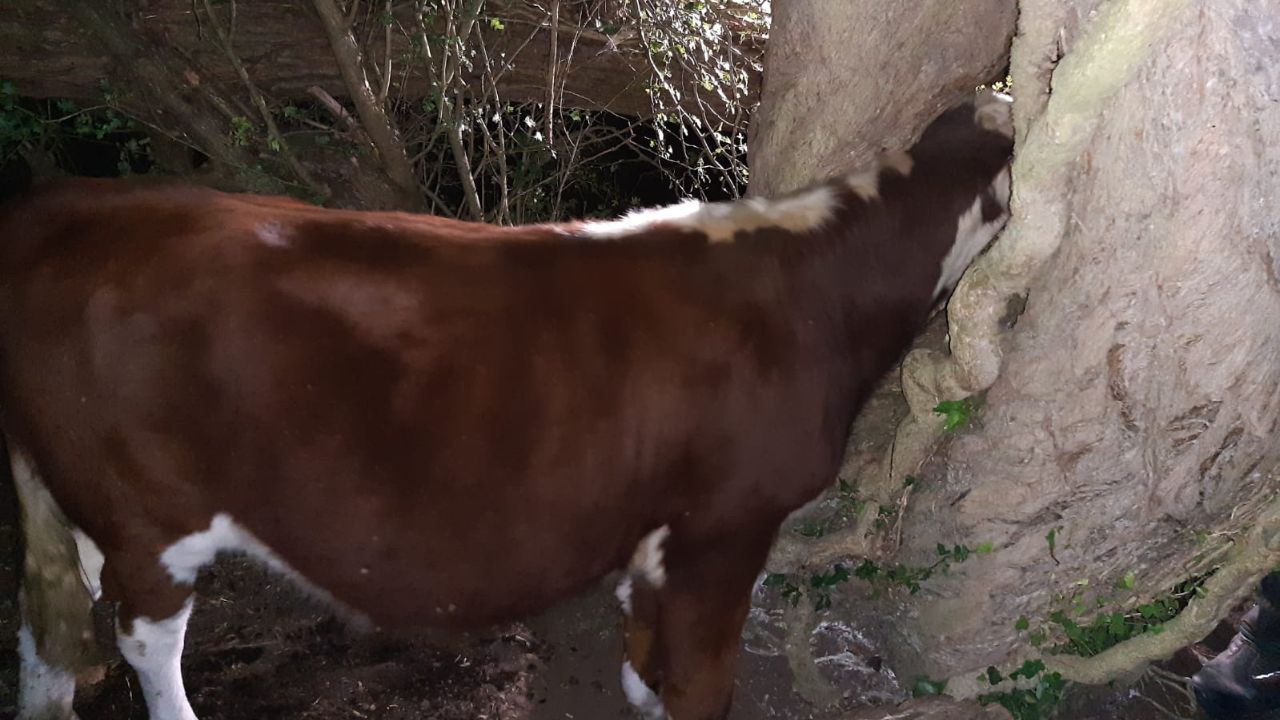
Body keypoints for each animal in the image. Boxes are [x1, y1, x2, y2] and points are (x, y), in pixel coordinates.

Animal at [2, 90, 1013, 720]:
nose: (997, 101)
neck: (814, 291)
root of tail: (65, 204)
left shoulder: (659, 528)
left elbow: (644, 648)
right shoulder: (728, 522)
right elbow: (699, 679)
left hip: (68, 500)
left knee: (48, 631)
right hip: (147, 513)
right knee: (145, 642)